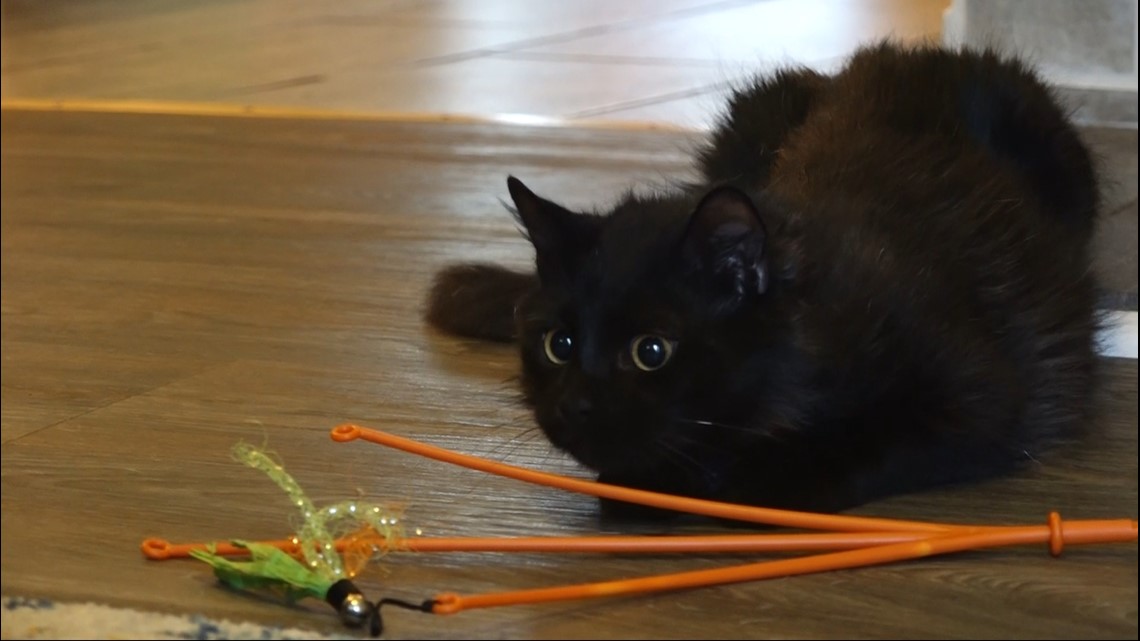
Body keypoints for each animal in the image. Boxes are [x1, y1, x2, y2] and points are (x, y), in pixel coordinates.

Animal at [424, 42, 1098, 513]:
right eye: (558, 345)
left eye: (651, 352)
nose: (574, 403)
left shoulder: (982, 395)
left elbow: (866, 442)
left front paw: (749, 479)